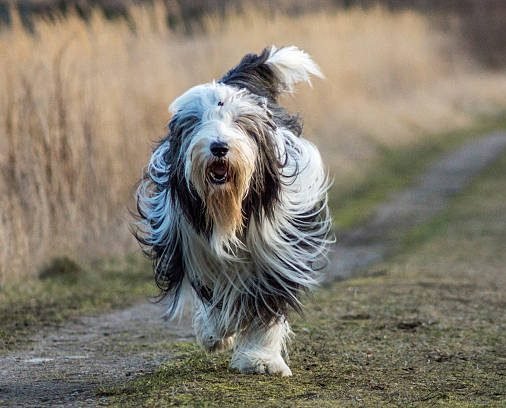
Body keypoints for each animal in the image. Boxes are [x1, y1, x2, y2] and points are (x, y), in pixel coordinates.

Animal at [134, 45, 332, 376]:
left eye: (240, 122)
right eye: (197, 122)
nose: (219, 147)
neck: (228, 207)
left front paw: (260, 358)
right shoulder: (193, 246)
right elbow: (213, 297)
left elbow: (267, 302)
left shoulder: (276, 251)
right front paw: (217, 332)